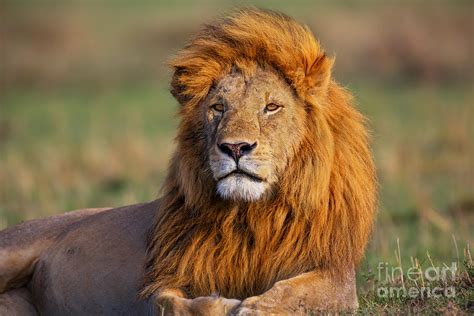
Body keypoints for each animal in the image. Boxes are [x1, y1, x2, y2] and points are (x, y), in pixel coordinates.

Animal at [0, 8, 378, 314]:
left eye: (271, 107)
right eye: (218, 107)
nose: (235, 148)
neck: (249, 215)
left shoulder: (334, 273)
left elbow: (295, 294)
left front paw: (255, 307)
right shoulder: (164, 277)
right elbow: (172, 303)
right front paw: (222, 304)